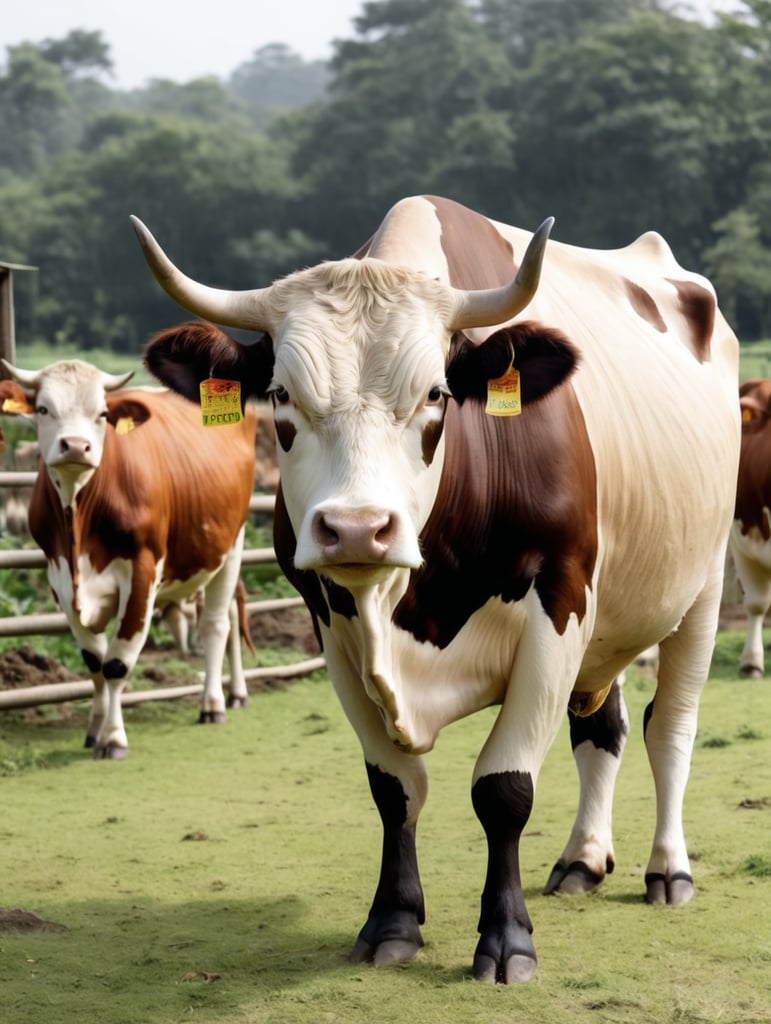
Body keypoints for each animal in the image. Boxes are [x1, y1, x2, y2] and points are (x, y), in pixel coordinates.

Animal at [0, 327, 258, 758]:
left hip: (233, 541)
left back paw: (214, 703)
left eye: (102, 414)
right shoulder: (58, 577)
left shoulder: (142, 570)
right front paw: (94, 729)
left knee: (217, 624)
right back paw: (236, 693)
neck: (78, 517)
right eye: (44, 409)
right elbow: (93, 661)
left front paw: (114, 738)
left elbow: (117, 663)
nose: (75, 446)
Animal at [130, 194, 740, 982]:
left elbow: (503, 788)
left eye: (436, 395)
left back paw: (668, 868)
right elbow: (393, 789)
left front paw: (506, 939)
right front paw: (392, 921)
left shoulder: (559, 605)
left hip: (700, 589)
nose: (357, 529)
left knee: (671, 730)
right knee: (601, 726)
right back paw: (582, 857)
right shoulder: (332, 627)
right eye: (280, 397)